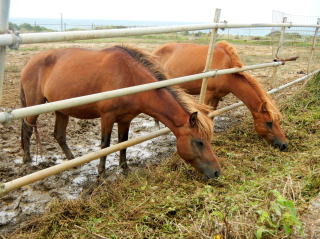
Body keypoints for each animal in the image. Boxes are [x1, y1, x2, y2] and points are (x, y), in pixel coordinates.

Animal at [152, 40, 288, 149]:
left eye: (278, 121)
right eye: (269, 122)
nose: (284, 144)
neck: (226, 68)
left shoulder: (216, 97)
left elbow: (212, 116)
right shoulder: (208, 94)